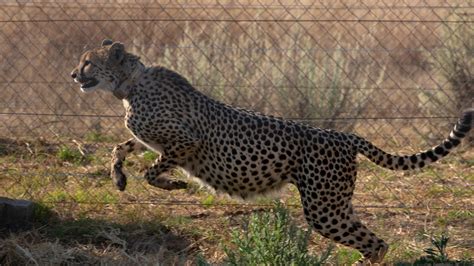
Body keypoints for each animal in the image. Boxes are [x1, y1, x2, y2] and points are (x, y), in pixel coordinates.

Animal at [71, 40, 474, 264]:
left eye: (88, 61)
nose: (73, 75)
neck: (128, 85)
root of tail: (344, 135)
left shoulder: (187, 143)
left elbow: (153, 170)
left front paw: (174, 186)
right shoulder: (152, 140)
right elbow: (121, 147)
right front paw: (118, 177)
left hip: (324, 208)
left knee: (375, 243)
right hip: (335, 204)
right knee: (374, 242)